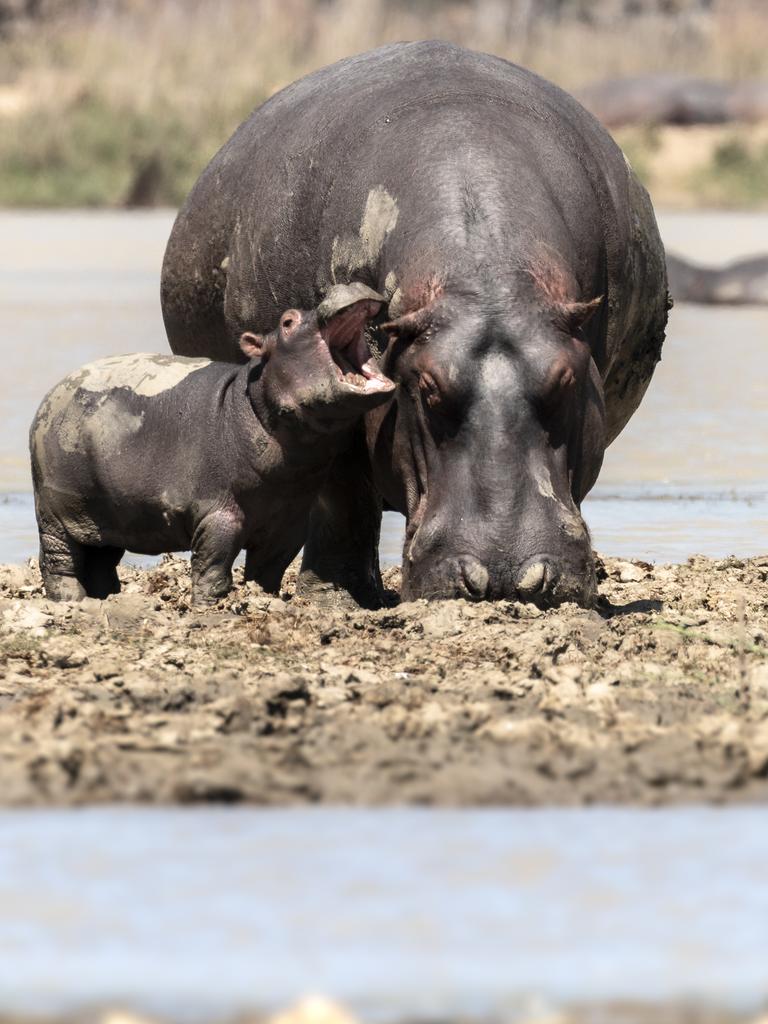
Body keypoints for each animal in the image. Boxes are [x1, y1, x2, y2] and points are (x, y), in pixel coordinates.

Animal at [30, 284, 393, 602]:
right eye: (287, 321)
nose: (346, 284)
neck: (252, 401)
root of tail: (50, 396)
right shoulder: (218, 512)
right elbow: (213, 566)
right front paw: (210, 606)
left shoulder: (288, 523)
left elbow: (268, 572)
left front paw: (264, 598)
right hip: (56, 512)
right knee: (59, 562)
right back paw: (70, 601)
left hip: (107, 515)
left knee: (100, 562)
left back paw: (104, 598)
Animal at [160, 39, 667, 606]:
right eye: (426, 388)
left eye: (566, 380)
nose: (508, 575)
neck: (484, 283)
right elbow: (342, 491)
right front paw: (334, 596)